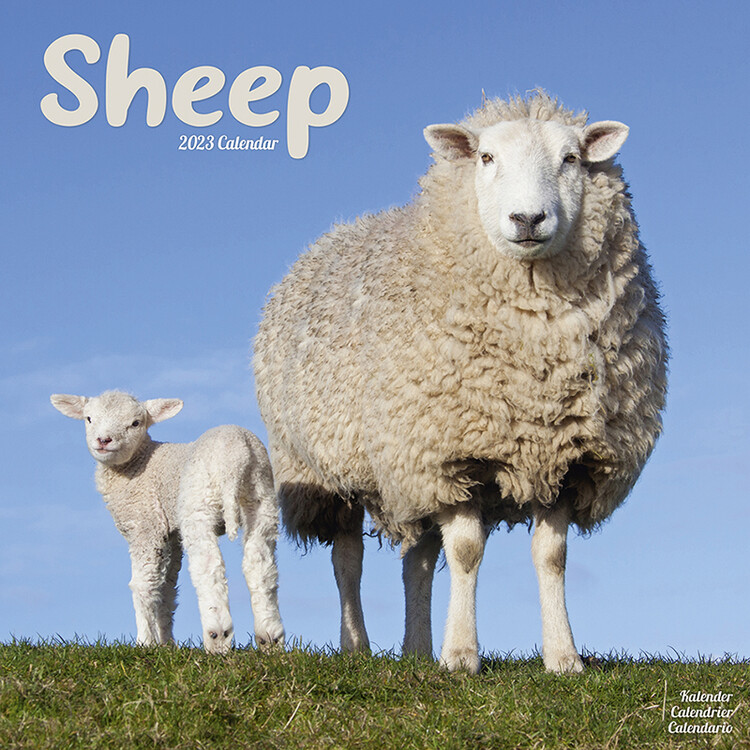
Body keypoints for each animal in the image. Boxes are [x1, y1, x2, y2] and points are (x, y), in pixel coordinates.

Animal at [50, 390, 285, 654]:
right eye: (89, 418)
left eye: (135, 423)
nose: (104, 440)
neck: (138, 463)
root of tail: (236, 457)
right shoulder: (170, 535)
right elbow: (167, 588)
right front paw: (166, 643)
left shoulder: (146, 524)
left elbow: (143, 585)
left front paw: (145, 642)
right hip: (262, 501)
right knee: (260, 566)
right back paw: (270, 637)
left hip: (198, 504)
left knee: (209, 565)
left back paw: (217, 636)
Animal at [253, 91, 668, 674]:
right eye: (486, 158)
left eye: (571, 159)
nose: (527, 217)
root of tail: (334, 232)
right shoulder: (451, 455)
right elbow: (467, 552)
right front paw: (461, 656)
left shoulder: (564, 457)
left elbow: (552, 556)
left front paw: (563, 658)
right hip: (331, 470)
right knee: (348, 559)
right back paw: (357, 647)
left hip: (405, 474)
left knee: (418, 561)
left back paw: (415, 649)